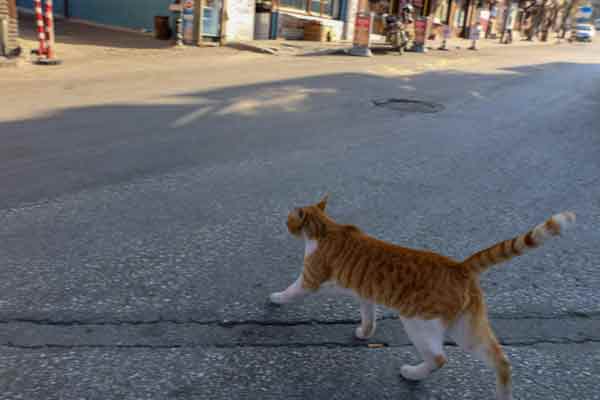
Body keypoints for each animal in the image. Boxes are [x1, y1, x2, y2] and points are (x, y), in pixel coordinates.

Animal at [270, 196, 576, 400]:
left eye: (288, 219)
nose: (283, 223)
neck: (325, 228)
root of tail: (459, 266)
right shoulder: (364, 293)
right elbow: (368, 314)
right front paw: (365, 332)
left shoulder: (311, 280)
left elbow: (292, 290)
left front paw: (276, 297)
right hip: (467, 330)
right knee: (501, 360)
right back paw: (503, 394)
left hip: (418, 323)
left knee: (439, 358)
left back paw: (412, 373)